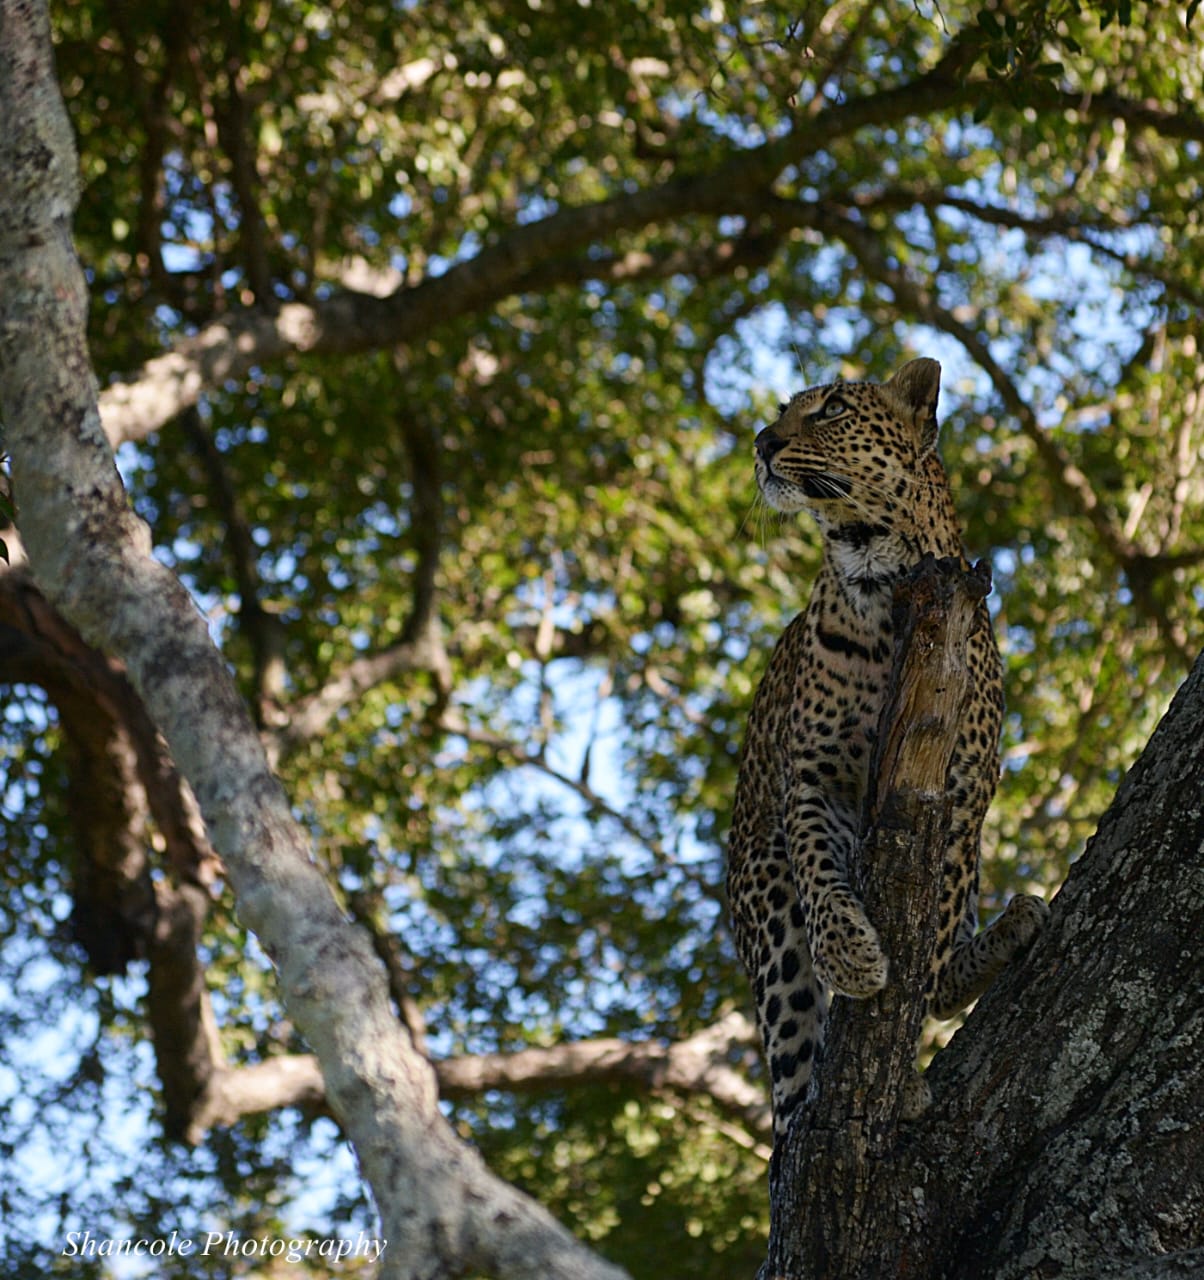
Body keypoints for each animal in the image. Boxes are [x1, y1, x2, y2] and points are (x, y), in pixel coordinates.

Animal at [726, 356, 1049, 1140]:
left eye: (833, 410)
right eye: (783, 410)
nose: (761, 442)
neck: (874, 573)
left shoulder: (963, 783)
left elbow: (938, 911)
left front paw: (916, 1016)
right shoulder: (812, 777)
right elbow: (818, 864)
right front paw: (850, 955)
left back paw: (1002, 934)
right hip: (761, 895)